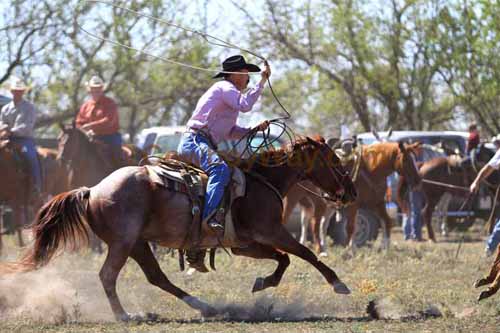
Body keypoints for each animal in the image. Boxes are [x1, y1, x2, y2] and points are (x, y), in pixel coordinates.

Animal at [3, 136, 356, 320]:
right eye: (335, 161)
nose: (350, 193)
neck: (263, 180)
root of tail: (92, 190)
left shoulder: (246, 243)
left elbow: (283, 259)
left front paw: (262, 282)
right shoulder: (270, 231)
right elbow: (304, 253)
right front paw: (338, 283)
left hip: (137, 244)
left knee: (156, 277)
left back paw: (203, 306)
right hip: (123, 242)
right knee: (108, 276)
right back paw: (123, 315)